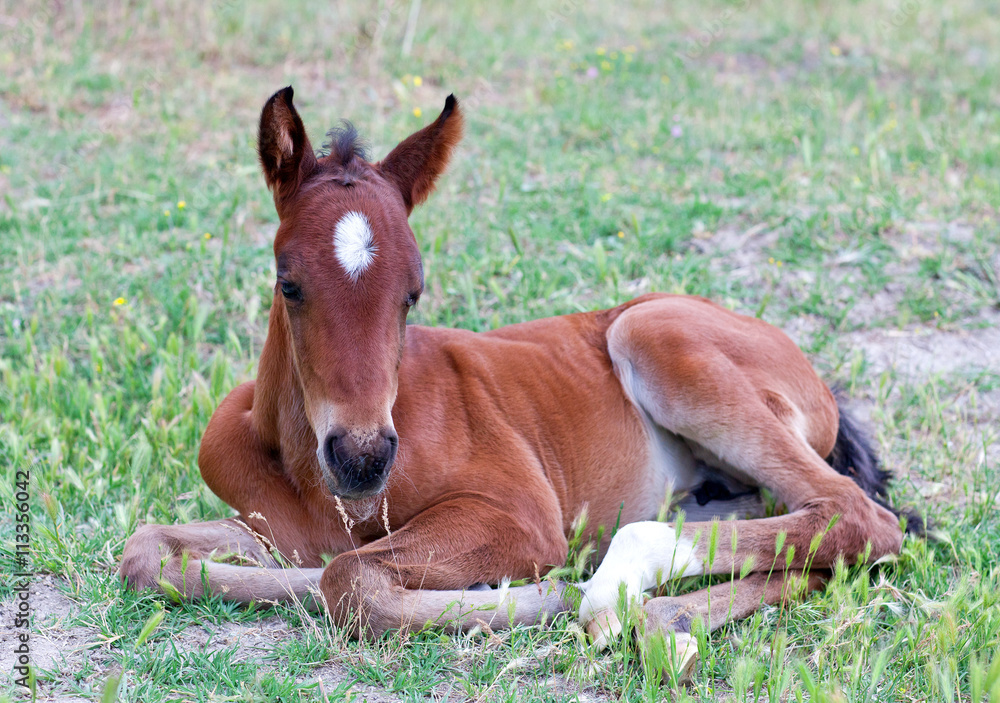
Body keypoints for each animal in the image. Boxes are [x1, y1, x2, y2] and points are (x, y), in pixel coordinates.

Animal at [120, 87, 913, 660]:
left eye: (412, 293)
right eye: (289, 283)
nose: (362, 457)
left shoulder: (519, 514)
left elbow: (350, 576)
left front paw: (535, 592)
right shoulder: (267, 528)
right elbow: (150, 552)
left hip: (652, 332)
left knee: (858, 515)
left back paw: (615, 590)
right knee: (805, 538)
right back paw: (670, 613)